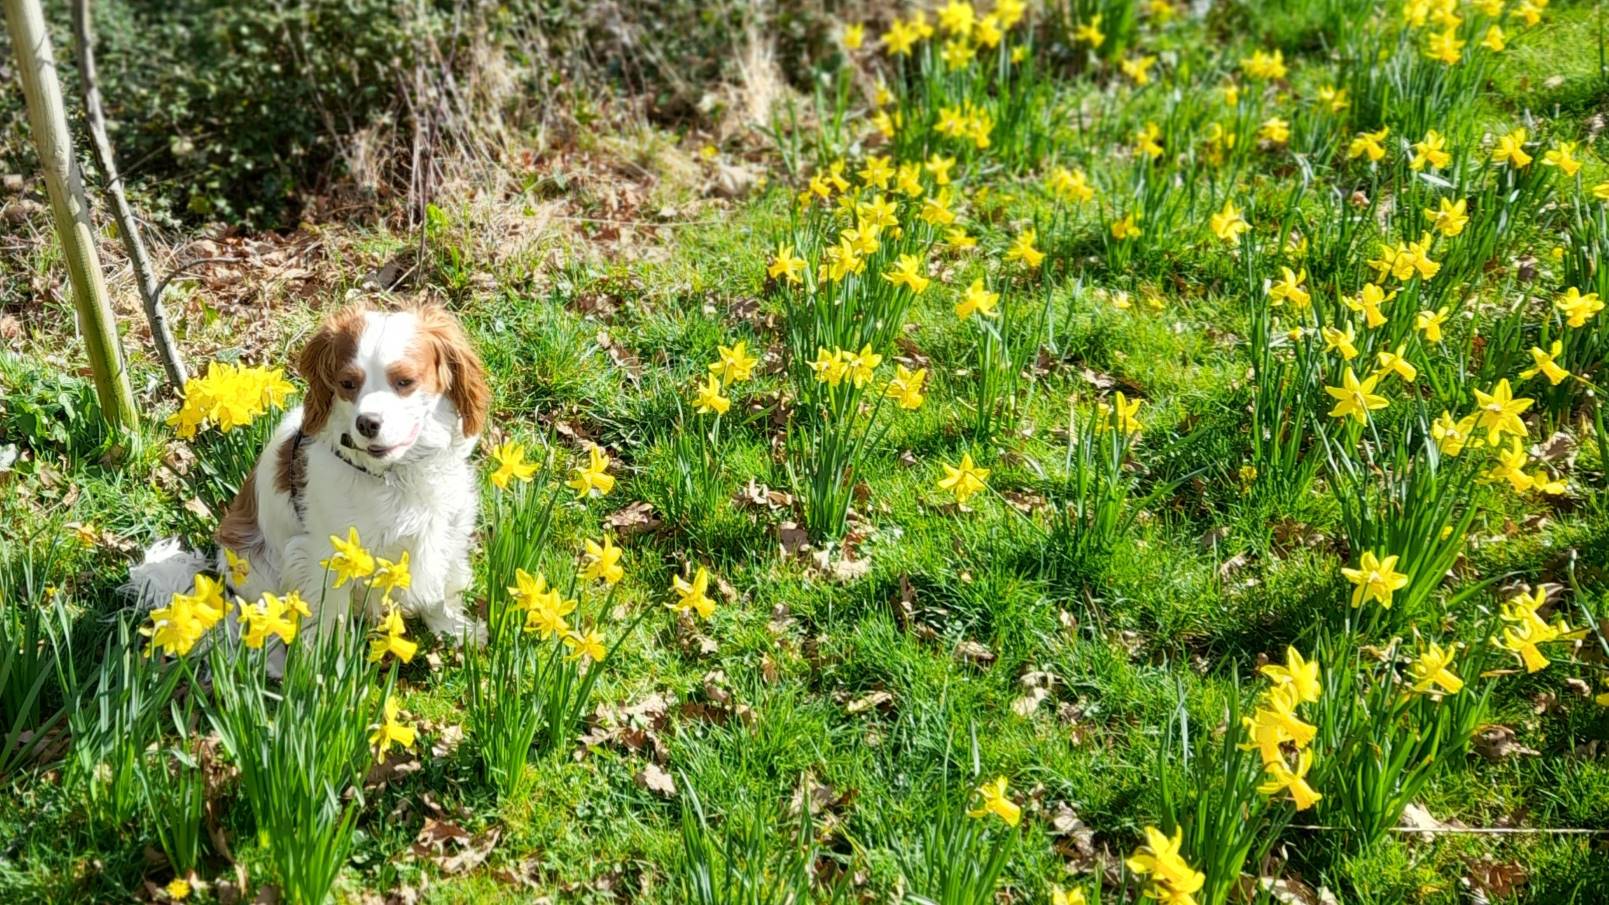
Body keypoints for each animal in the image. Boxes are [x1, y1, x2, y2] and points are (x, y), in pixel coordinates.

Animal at [131, 302, 489, 640]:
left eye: (405, 382)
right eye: (347, 383)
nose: (367, 423)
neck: (393, 475)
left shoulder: (444, 531)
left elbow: (441, 591)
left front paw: (456, 631)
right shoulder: (327, 555)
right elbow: (330, 624)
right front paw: (330, 662)